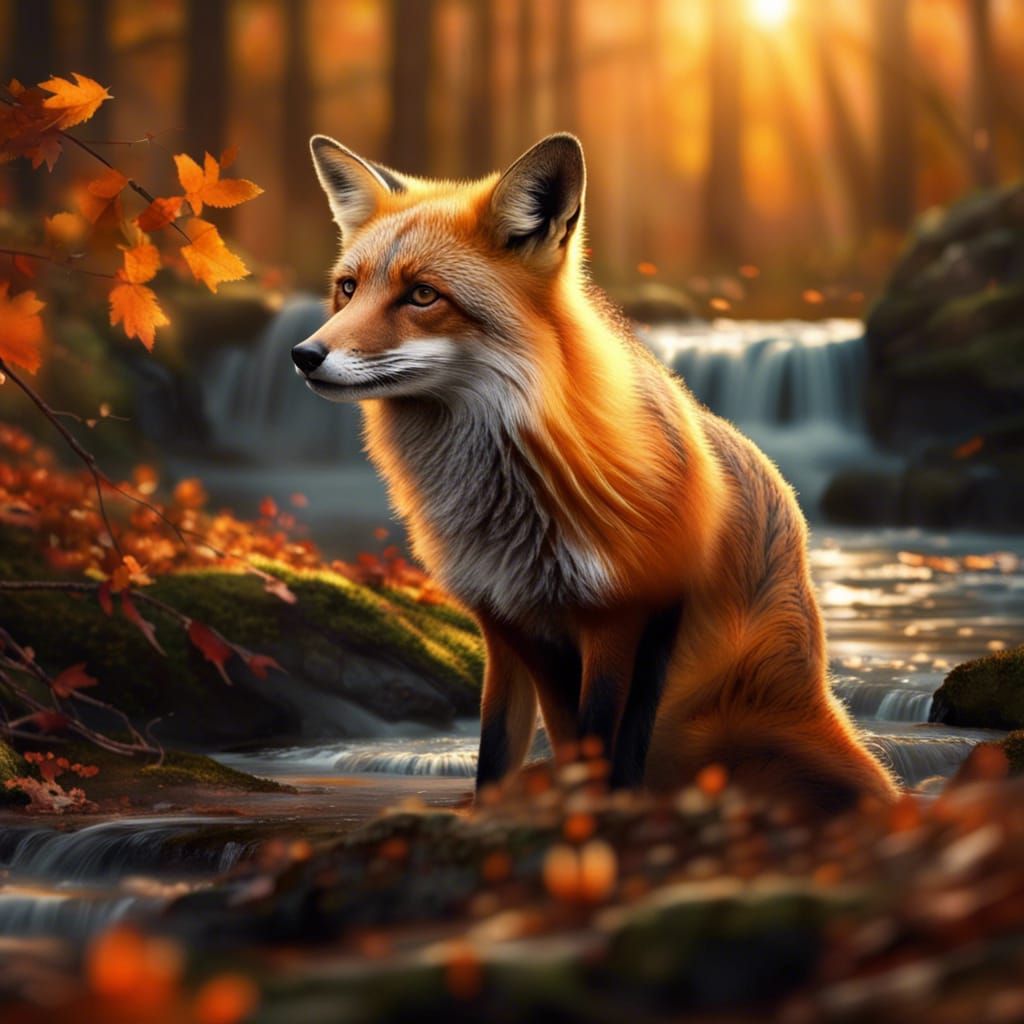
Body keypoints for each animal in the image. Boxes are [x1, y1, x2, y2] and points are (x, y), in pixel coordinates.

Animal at [293, 131, 899, 814]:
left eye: (423, 294)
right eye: (348, 288)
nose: (303, 355)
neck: (518, 508)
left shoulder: (625, 616)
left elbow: (604, 742)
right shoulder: (507, 625)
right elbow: (502, 755)